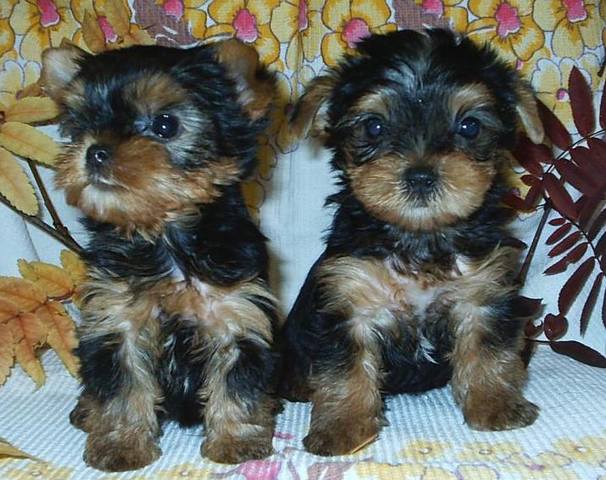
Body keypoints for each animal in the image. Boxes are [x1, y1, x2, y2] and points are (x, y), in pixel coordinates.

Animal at [41, 39, 282, 470]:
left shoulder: (236, 311)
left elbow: (236, 381)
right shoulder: (115, 318)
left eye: (165, 125)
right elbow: (122, 386)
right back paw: (87, 410)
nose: (95, 151)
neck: (162, 236)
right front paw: (120, 445)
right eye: (82, 123)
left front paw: (236, 441)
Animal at [284, 28, 548, 456]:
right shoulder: (350, 300)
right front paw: (342, 428)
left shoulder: (482, 294)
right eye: (374, 127)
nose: (421, 176)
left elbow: (488, 349)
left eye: (469, 126)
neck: (420, 238)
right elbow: (344, 369)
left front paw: (496, 404)